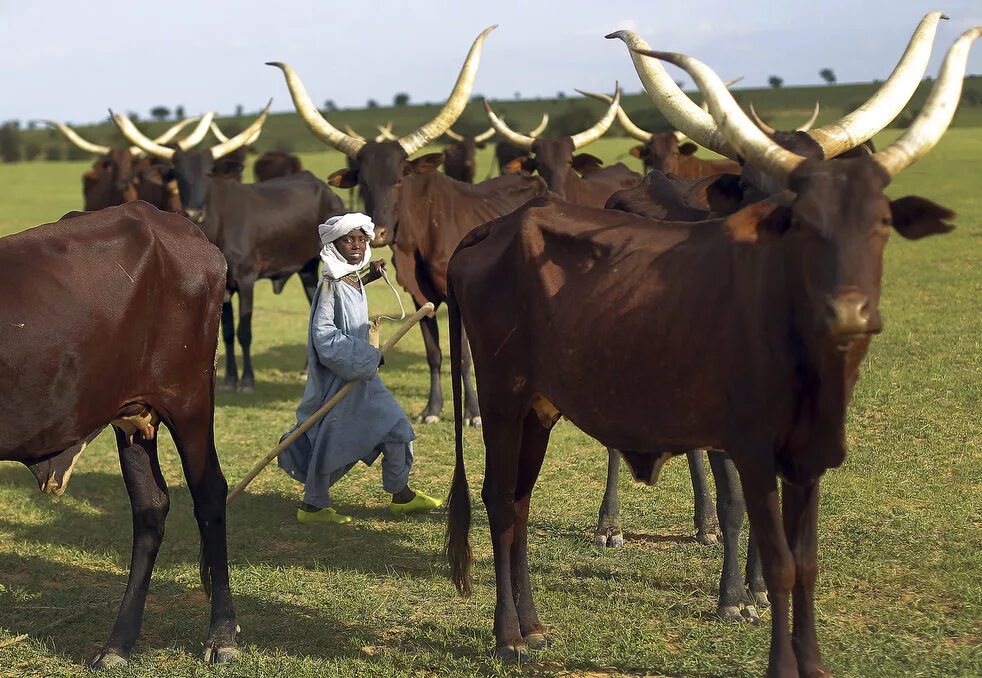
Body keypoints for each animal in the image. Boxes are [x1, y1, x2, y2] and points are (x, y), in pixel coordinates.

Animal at [0, 202, 238, 668]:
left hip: (189, 397)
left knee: (209, 495)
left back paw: (221, 636)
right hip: (132, 417)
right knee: (150, 507)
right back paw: (117, 643)